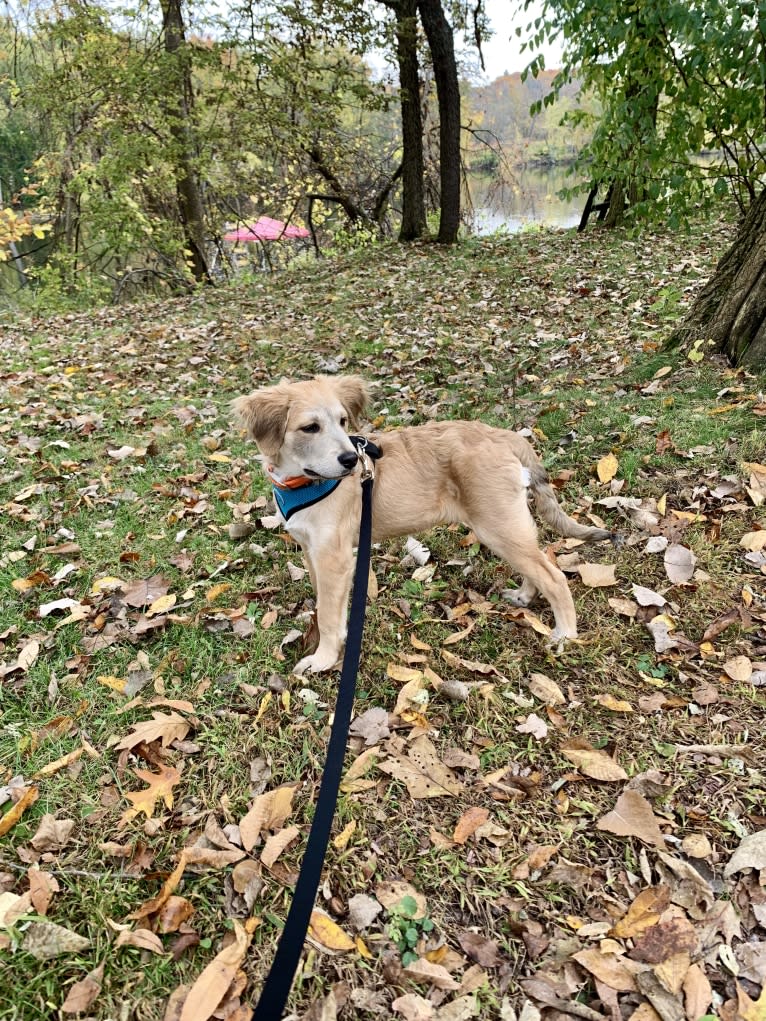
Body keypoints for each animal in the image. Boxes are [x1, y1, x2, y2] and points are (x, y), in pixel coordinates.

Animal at [233, 371, 612, 673]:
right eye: (310, 428)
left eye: (342, 422)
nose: (351, 461)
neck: (303, 481)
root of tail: (503, 435)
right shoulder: (313, 551)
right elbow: (324, 603)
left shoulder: (334, 558)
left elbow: (328, 613)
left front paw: (324, 658)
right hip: (508, 525)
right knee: (539, 563)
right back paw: (524, 596)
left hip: (497, 527)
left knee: (554, 576)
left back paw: (565, 634)